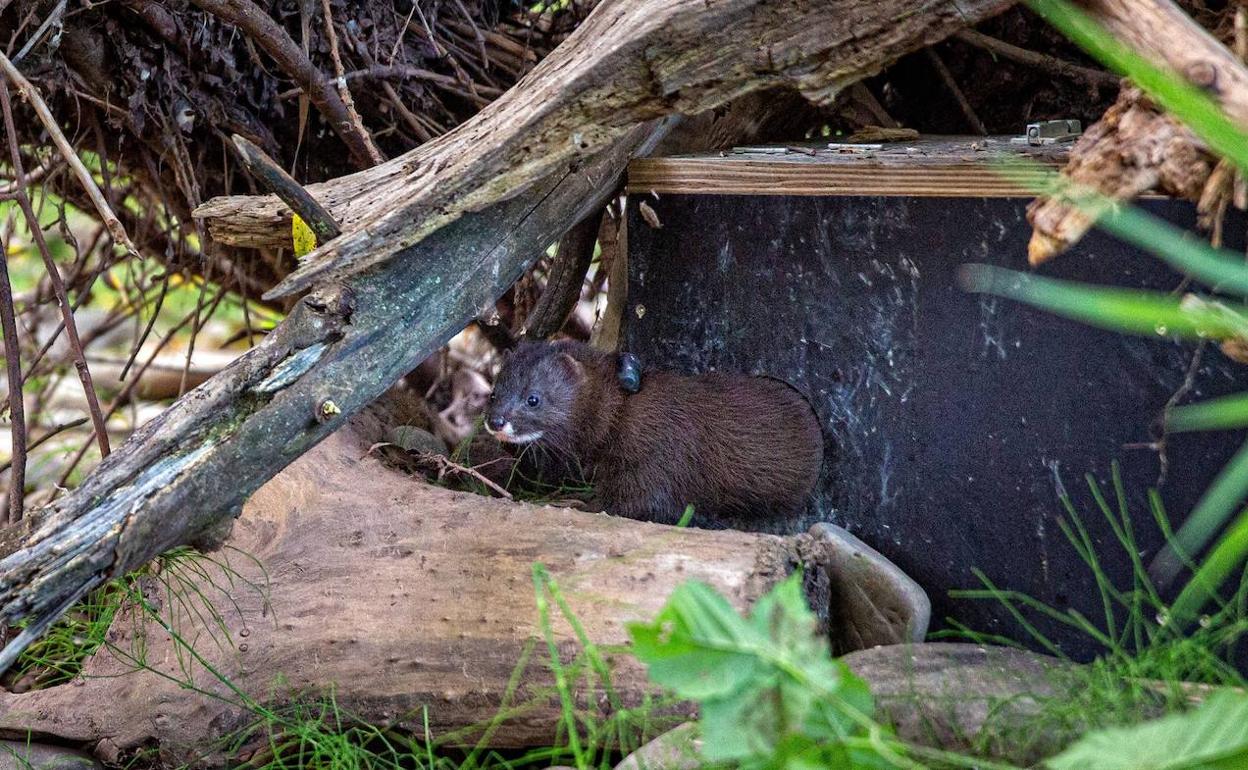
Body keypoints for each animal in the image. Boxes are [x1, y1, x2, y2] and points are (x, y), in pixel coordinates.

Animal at [485, 340, 824, 524]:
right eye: (493, 393)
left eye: (533, 398)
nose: (496, 421)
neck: (623, 415)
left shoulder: (657, 456)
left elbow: (637, 504)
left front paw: (573, 503)